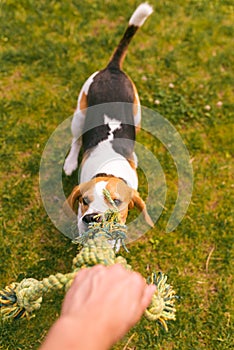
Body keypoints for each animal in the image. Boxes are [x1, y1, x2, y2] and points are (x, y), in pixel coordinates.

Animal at [63, 2, 154, 235]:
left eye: (116, 201)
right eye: (84, 200)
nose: (91, 218)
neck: (109, 171)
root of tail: (112, 68)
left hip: (137, 116)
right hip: (79, 115)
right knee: (76, 140)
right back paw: (70, 162)